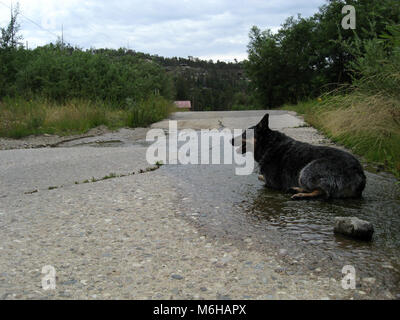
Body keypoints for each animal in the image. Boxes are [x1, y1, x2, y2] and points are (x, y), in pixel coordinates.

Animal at [231, 113, 366, 200]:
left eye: (244, 134)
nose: (230, 140)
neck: (269, 145)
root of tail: (360, 174)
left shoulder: (272, 182)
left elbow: (261, 177)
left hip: (307, 171)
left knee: (322, 193)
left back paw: (300, 193)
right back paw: (296, 189)